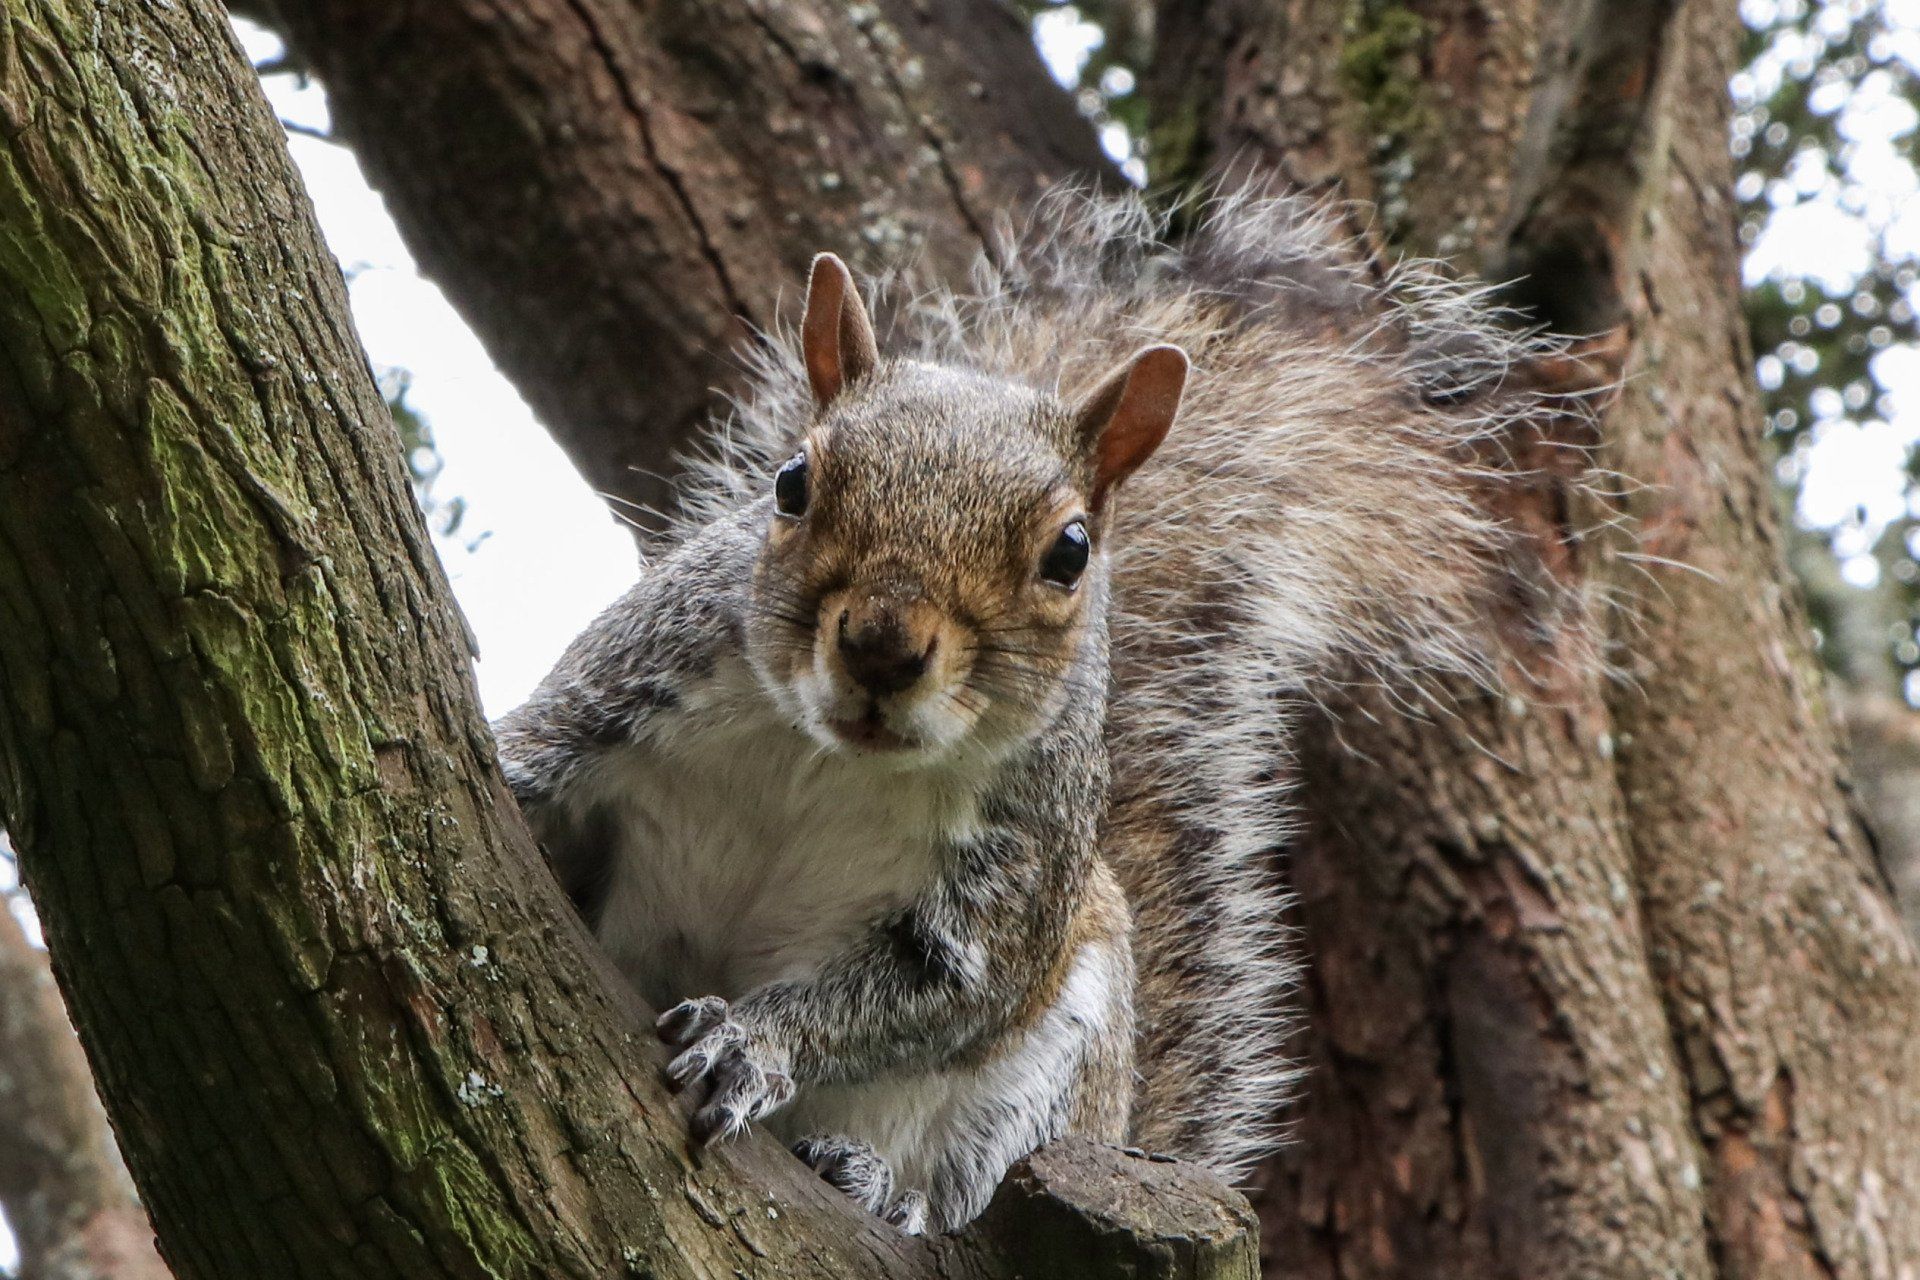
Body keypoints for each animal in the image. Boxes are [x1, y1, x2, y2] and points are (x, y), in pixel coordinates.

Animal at [493, 186, 1544, 1233]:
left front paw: (753, 1044)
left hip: (1062, 1063)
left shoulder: (1011, 882)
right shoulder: (633, 678)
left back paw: (879, 1187)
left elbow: (937, 995)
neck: (827, 758)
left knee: (969, 1185)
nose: (882, 647)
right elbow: (536, 755)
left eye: (1069, 552)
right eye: (791, 482)